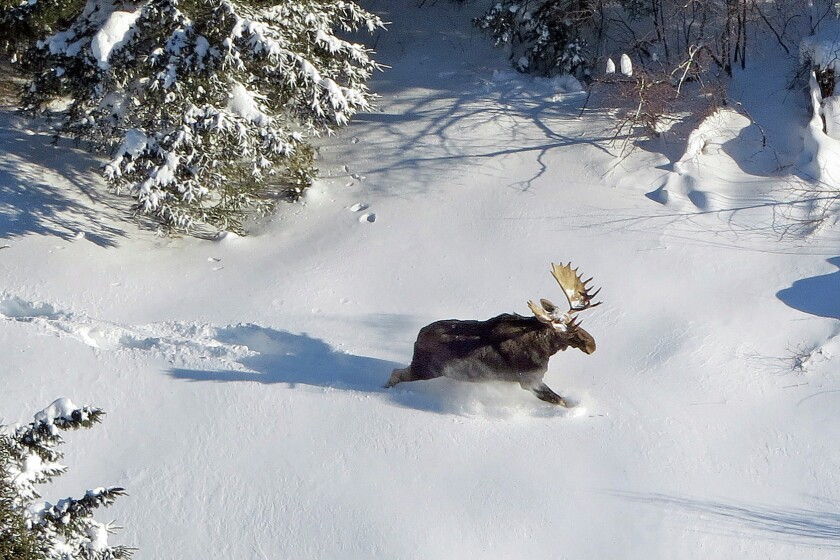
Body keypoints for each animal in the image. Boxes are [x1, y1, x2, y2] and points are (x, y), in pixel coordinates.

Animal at [384, 262, 600, 406]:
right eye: (568, 329)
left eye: (573, 320)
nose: (591, 344)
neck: (546, 348)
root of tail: (417, 338)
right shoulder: (530, 381)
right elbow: (561, 401)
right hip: (425, 369)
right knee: (396, 374)